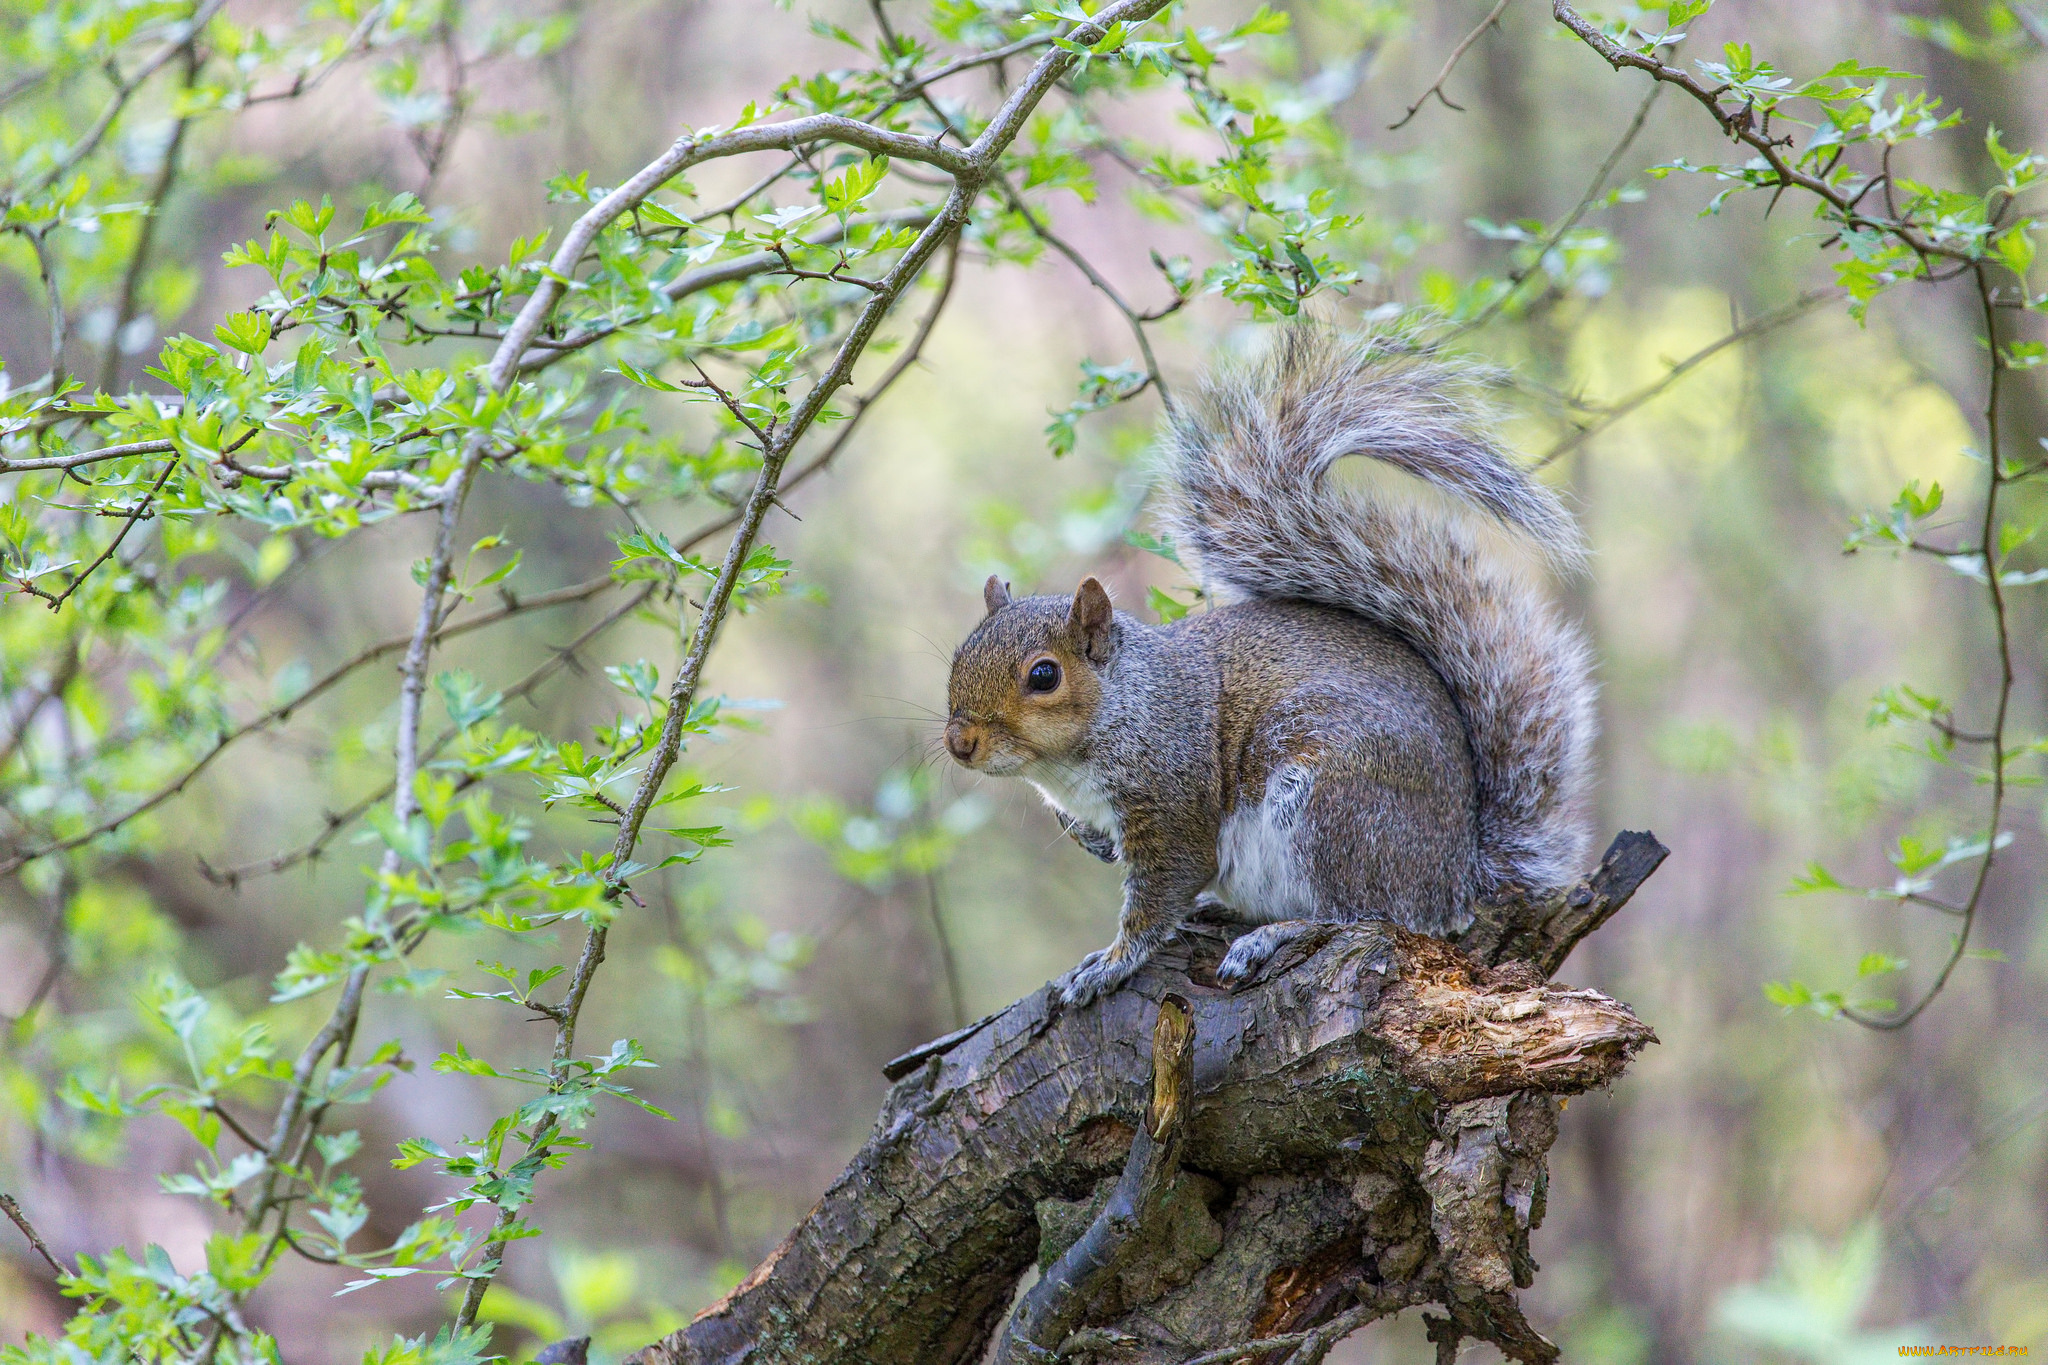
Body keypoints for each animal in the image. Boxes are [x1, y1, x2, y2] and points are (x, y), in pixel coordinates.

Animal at [942, 331, 1597, 1010]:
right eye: (960, 655)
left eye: (1044, 676)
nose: (959, 743)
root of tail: (1458, 873)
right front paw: (1092, 844)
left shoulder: (1173, 801)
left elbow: (1159, 895)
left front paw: (1111, 963)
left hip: (1333, 807)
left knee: (1364, 914)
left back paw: (1275, 934)